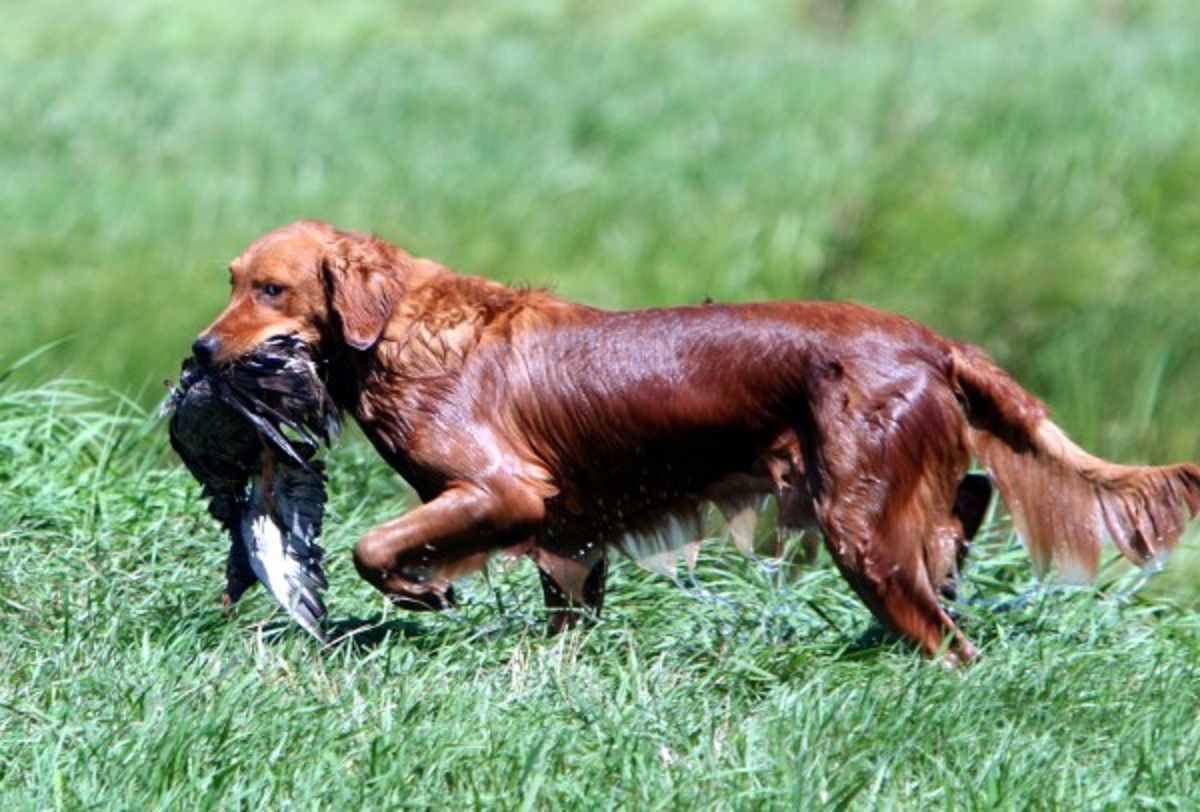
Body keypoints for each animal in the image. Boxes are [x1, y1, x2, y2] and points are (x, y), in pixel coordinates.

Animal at [194, 220, 1200, 657]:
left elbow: (374, 544)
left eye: (272, 290)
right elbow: (564, 617)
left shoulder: (508, 491)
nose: (199, 352)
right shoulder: (572, 535)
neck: (401, 330)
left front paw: (423, 590)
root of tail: (930, 339)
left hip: (858, 525)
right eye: (232, 279)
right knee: (961, 514)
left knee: (946, 636)